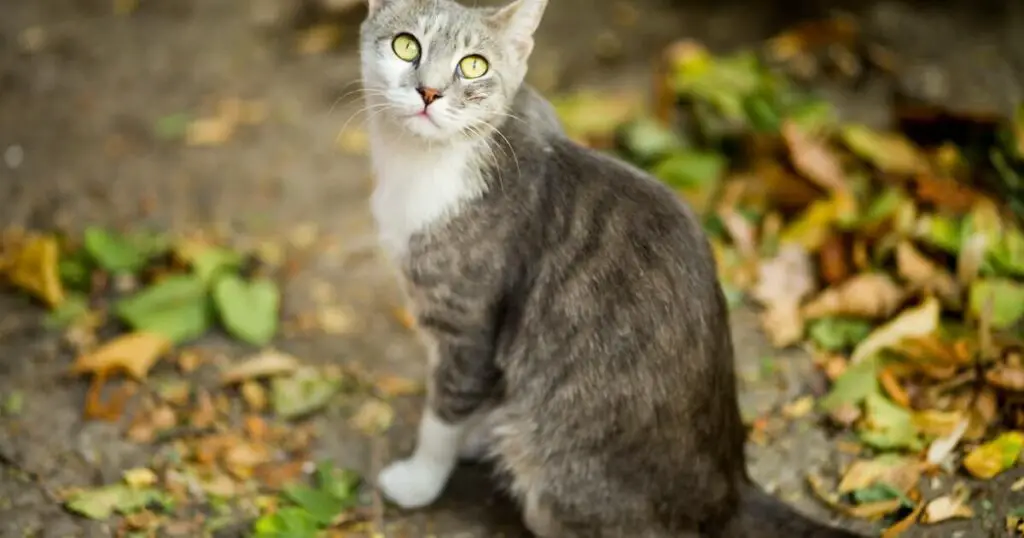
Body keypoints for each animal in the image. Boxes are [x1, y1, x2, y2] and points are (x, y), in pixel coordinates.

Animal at [358, 0, 864, 532]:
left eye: (474, 65)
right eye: (406, 45)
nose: (429, 91)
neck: (422, 164)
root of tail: (729, 492)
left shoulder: (467, 321)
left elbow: (445, 409)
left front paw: (421, 478)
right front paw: (477, 433)